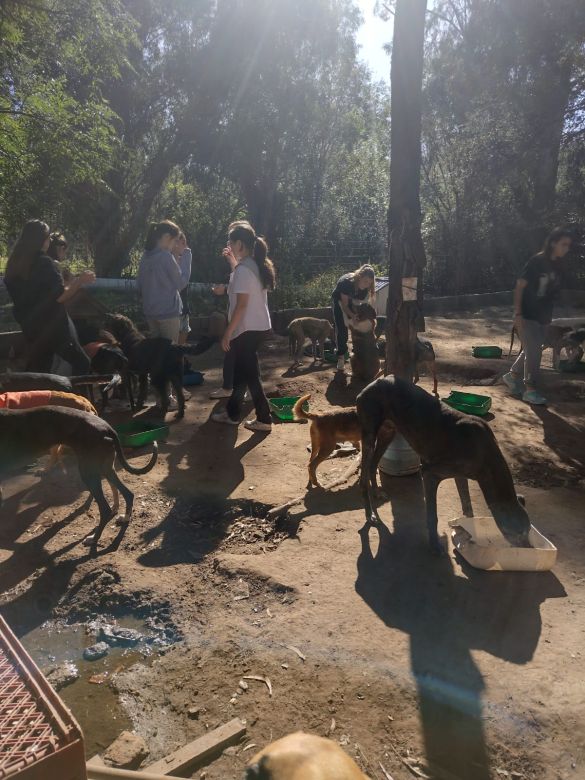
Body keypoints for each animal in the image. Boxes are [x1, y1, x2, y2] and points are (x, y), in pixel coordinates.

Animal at [0, 408, 157, 556]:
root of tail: (107, 427)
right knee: (128, 493)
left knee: (105, 508)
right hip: (105, 468)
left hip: (88, 472)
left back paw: (94, 539)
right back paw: (124, 518)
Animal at [356, 378, 528, 556]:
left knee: (373, 465)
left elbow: (468, 507)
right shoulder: (429, 474)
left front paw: (468, 533)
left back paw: (376, 492)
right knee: (363, 478)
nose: (528, 550)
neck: (485, 453)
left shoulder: (461, 475)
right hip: (369, 436)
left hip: (388, 432)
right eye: (516, 534)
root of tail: (373, 383)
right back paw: (370, 516)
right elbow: (433, 516)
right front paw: (434, 546)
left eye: (528, 532)